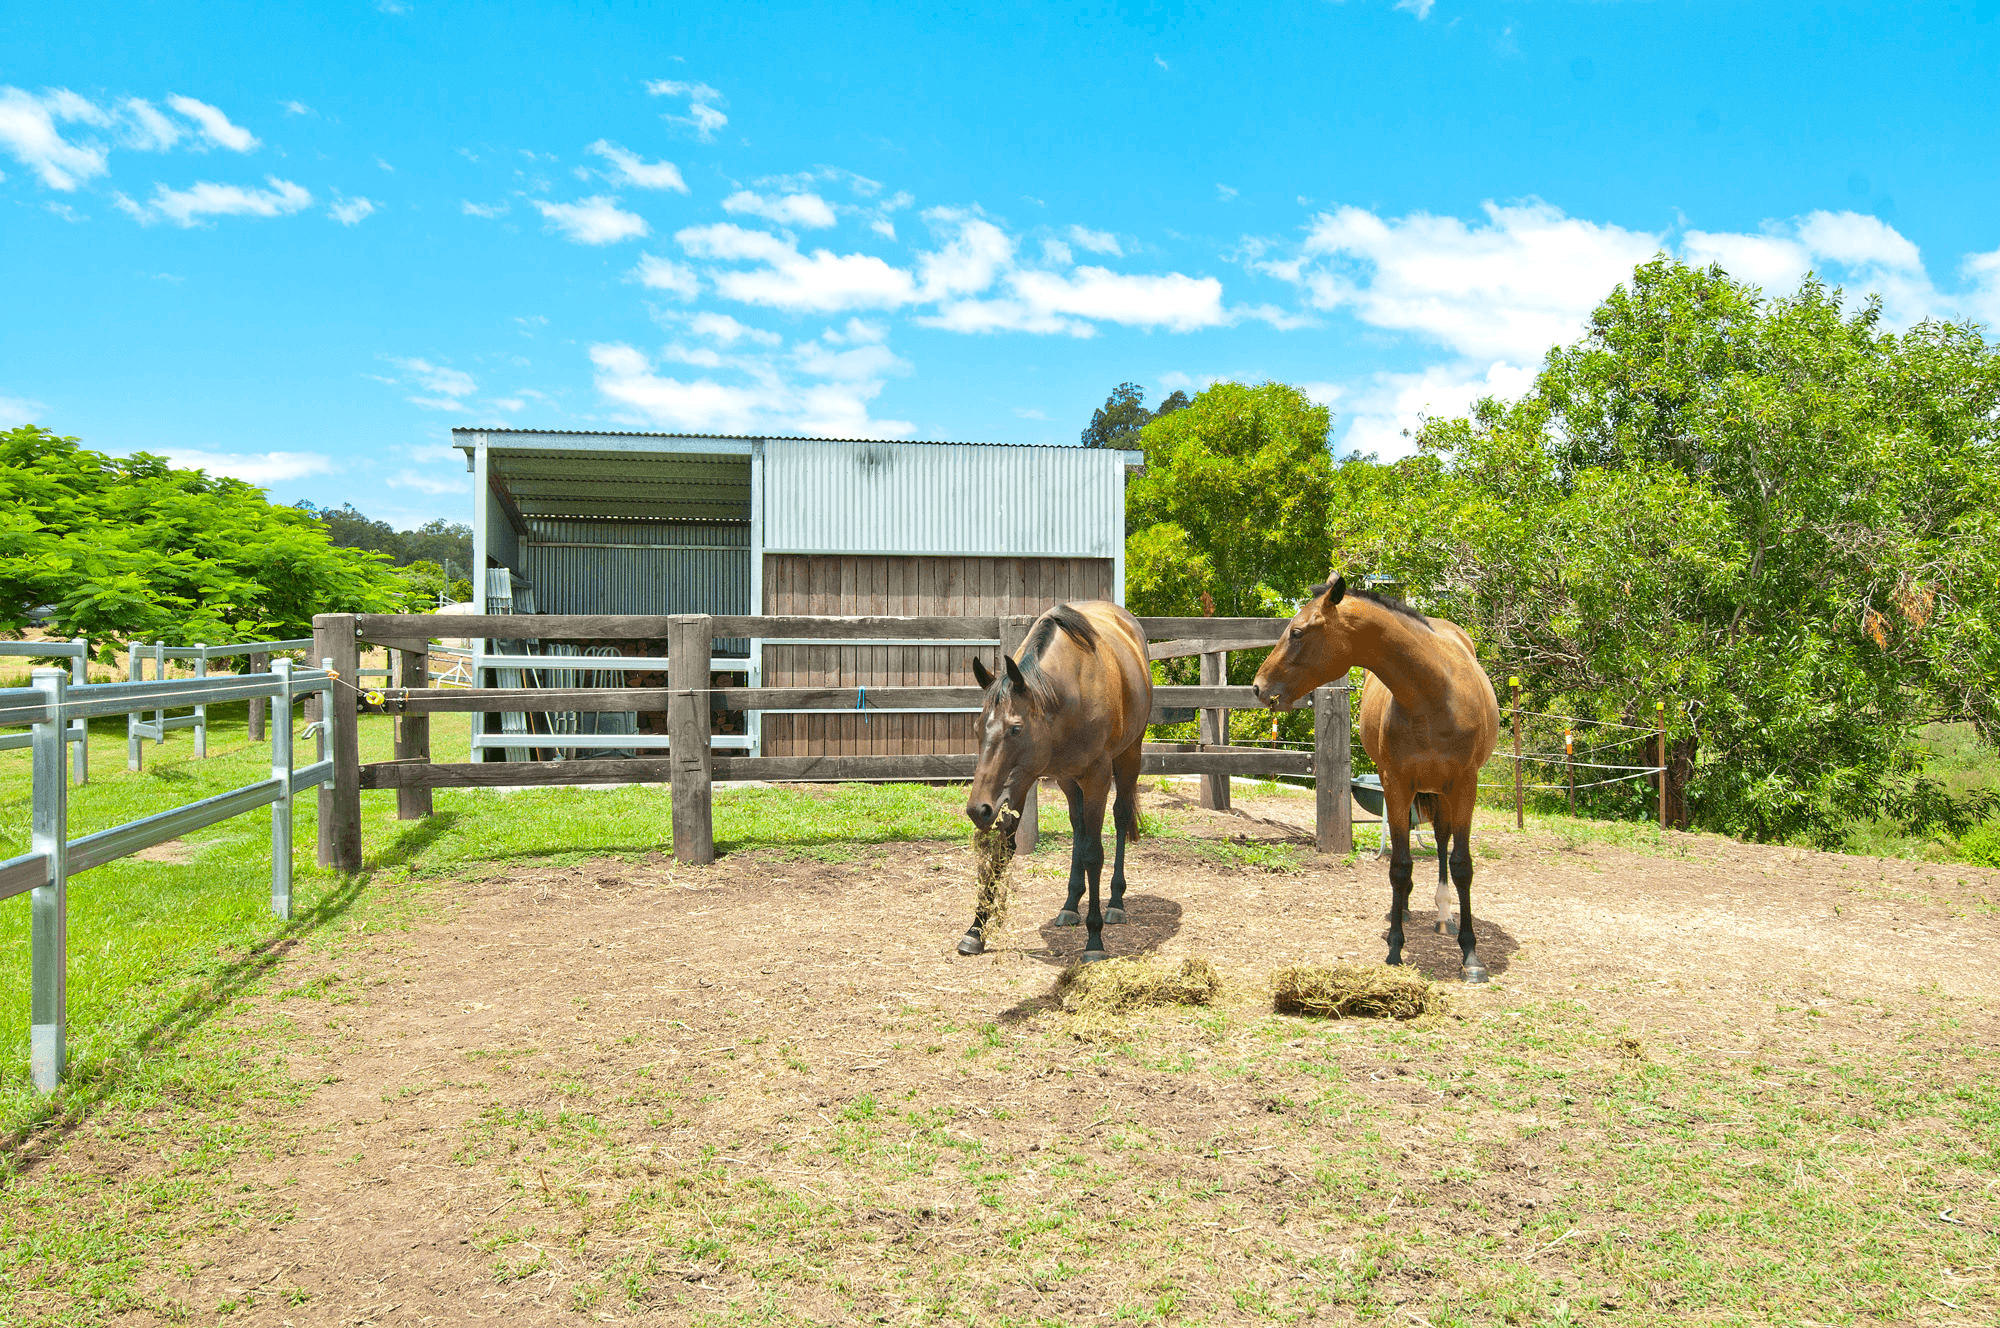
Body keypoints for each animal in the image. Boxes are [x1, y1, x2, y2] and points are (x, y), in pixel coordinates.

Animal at [956, 604, 1152, 964]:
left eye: (1015, 729)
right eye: (978, 728)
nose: (979, 809)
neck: (1066, 695)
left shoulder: (1097, 776)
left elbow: (1094, 853)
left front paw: (1094, 939)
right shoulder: (1022, 781)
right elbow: (1003, 851)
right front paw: (975, 929)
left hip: (1129, 755)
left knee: (1119, 819)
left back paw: (1116, 902)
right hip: (1067, 779)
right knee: (1079, 828)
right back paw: (1070, 905)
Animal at [1248, 576, 1504, 980]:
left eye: (1297, 632)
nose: (1258, 687)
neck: (1434, 695)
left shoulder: (1466, 785)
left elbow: (1462, 865)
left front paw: (1471, 955)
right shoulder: (1396, 785)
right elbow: (1399, 866)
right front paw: (1395, 948)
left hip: (1445, 791)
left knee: (1442, 840)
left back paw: (1444, 914)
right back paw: (1409, 911)